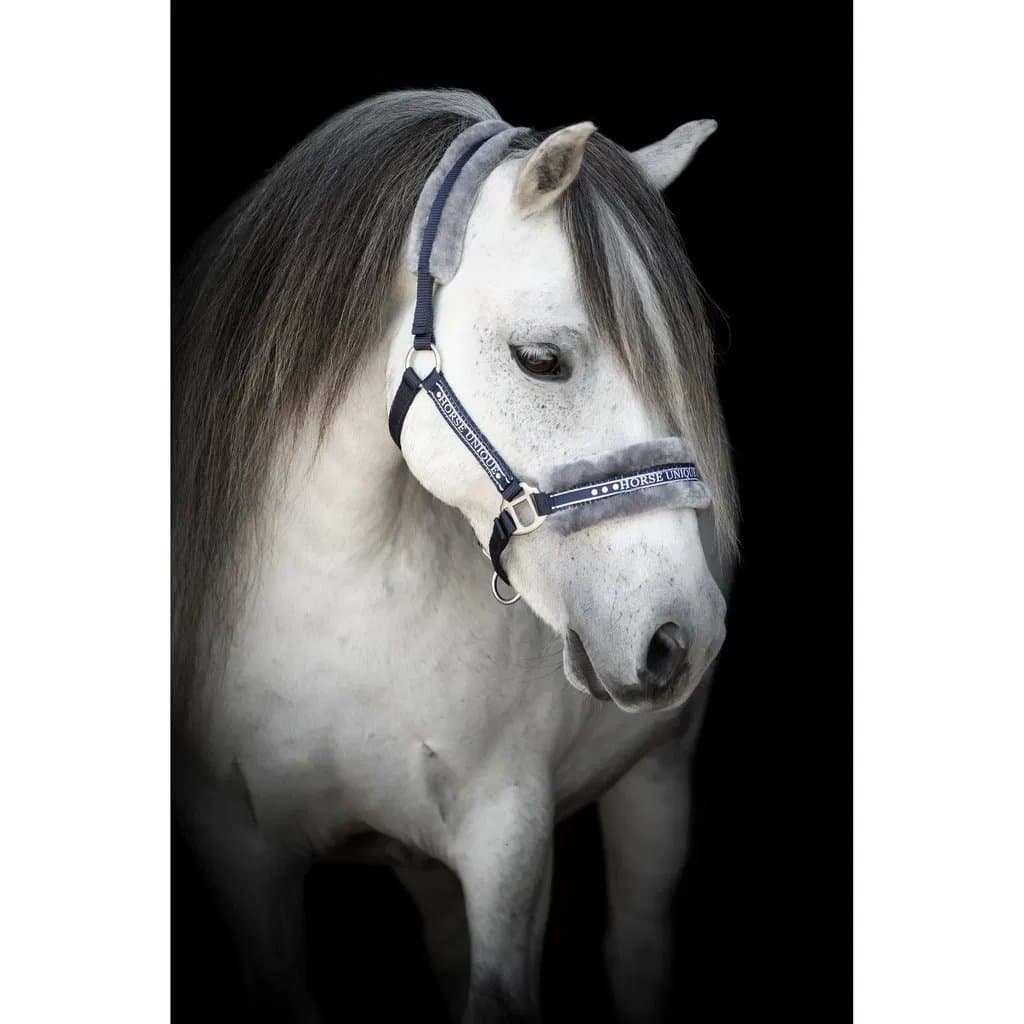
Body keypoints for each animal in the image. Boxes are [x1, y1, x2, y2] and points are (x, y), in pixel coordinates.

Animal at [172, 88, 738, 1024]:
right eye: (541, 360)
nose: (679, 635)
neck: (336, 607)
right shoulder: (239, 856)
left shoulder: (508, 840)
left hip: (658, 774)